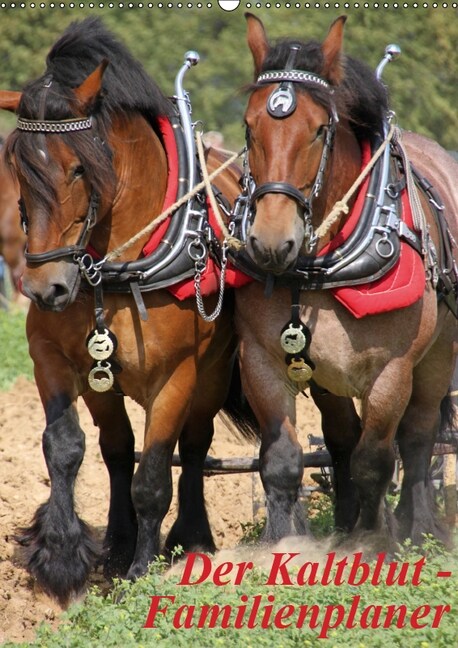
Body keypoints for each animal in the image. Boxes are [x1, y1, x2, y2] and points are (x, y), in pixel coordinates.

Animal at [0, 20, 252, 608]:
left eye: (78, 168)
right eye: (18, 166)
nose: (45, 288)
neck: (114, 271)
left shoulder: (177, 376)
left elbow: (155, 474)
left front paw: (141, 571)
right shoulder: (53, 357)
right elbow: (66, 447)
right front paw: (63, 558)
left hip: (210, 375)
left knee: (194, 446)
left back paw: (190, 539)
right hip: (104, 383)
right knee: (116, 451)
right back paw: (116, 543)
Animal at [234, 13, 458, 552]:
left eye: (319, 130)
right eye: (249, 127)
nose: (270, 242)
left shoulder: (392, 371)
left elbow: (375, 459)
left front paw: (374, 543)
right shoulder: (261, 359)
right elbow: (283, 461)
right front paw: (284, 545)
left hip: (437, 356)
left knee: (417, 437)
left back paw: (418, 526)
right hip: (327, 377)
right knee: (339, 439)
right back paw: (346, 521)